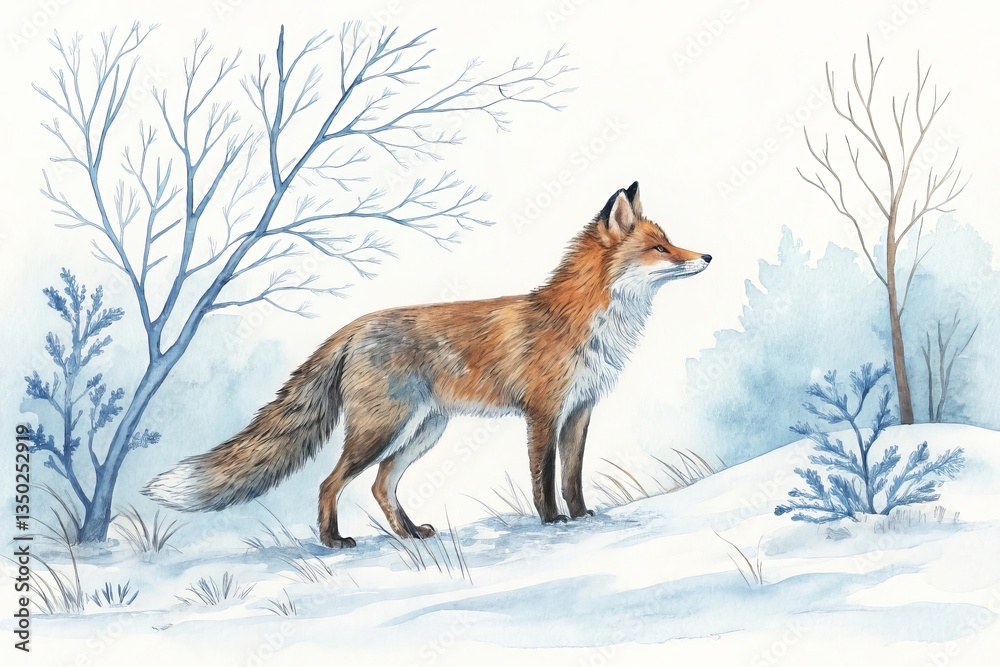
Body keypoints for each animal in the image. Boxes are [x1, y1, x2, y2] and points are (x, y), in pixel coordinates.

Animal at [143, 181, 711, 548]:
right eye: (661, 248)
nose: (707, 257)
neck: (585, 322)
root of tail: (355, 325)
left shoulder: (580, 411)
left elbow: (572, 477)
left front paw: (583, 517)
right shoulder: (543, 414)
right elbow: (544, 478)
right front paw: (552, 523)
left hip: (425, 429)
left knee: (380, 483)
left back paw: (410, 534)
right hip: (381, 428)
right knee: (331, 482)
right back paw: (332, 540)